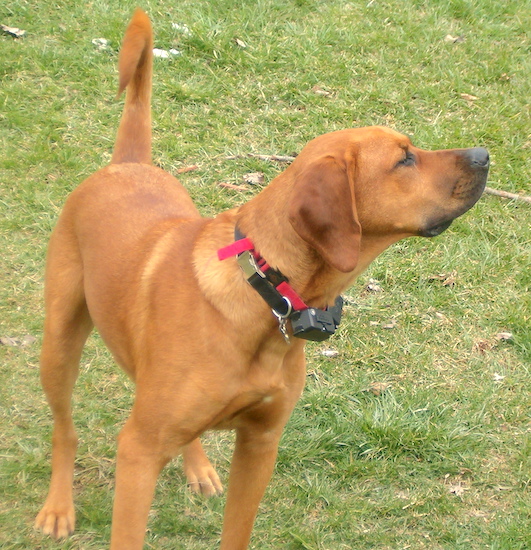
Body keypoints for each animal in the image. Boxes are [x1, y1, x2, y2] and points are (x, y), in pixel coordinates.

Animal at [33, 9, 490, 550]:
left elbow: (237, 530)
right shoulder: (138, 452)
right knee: (64, 428)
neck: (267, 292)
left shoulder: (260, 443)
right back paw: (57, 507)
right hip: (60, 342)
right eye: (404, 158)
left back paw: (197, 468)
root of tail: (128, 163)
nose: (485, 154)